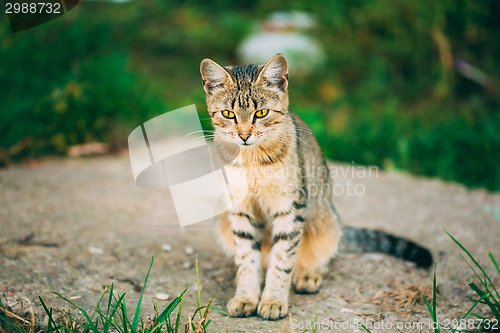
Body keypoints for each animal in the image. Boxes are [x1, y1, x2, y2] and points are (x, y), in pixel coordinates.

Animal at [199, 53, 434, 320]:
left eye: (261, 112)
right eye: (228, 114)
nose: (244, 135)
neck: (252, 161)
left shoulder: (290, 208)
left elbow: (282, 261)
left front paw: (273, 300)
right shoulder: (240, 208)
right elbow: (247, 259)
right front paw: (246, 296)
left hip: (326, 222)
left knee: (322, 258)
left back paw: (308, 275)